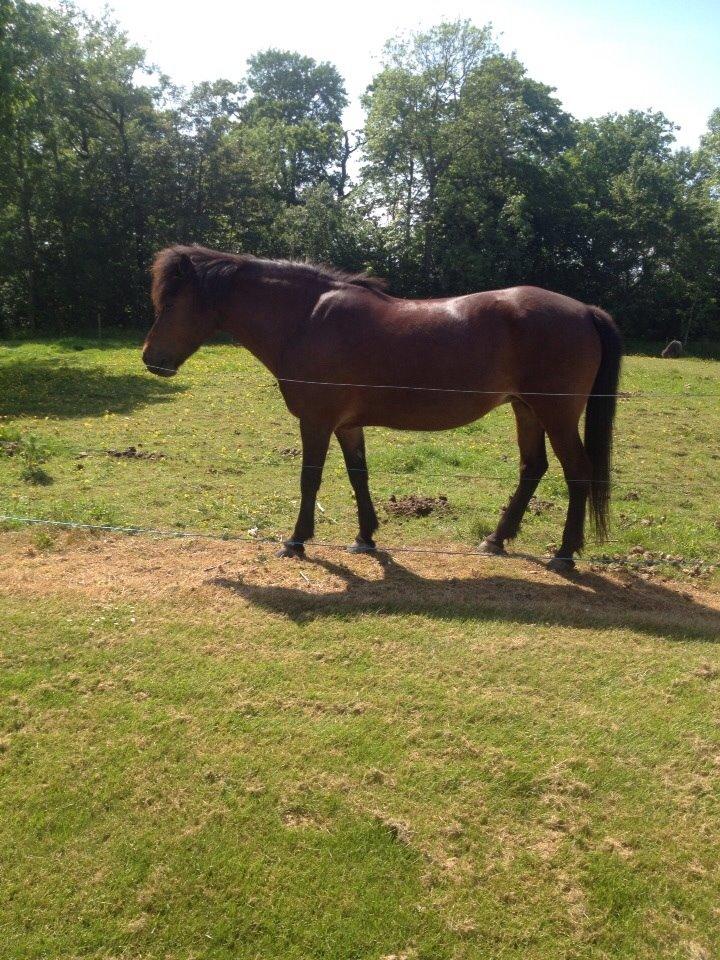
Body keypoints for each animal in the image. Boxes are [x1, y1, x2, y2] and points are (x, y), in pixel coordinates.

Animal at [142, 246, 624, 568]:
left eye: (171, 301)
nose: (151, 358)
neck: (308, 318)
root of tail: (584, 309)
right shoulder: (346, 425)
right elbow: (359, 475)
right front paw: (365, 537)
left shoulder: (316, 422)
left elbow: (310, 480)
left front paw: (297, 540)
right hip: (526, 409)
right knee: (532, 468)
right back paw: (496, 539)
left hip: (556, 414)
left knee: (576, 472)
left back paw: (564, 553)